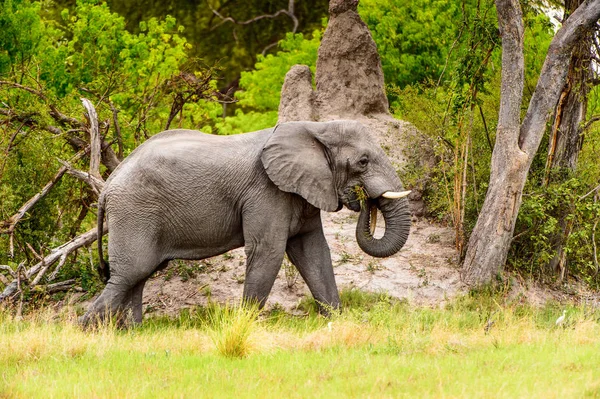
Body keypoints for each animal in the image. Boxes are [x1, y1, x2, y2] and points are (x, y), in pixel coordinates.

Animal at [79, 120, 410, 326]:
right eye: (363, 162)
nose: (364, 199)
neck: (316, 127)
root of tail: (108, 185)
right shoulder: (266, 190)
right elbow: (268, 252)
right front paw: (244, 326)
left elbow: (313, 252)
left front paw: (337, 322)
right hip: (134, 212)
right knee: (130, 274)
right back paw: (85, 330)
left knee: (139, 276)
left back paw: (132, 332)